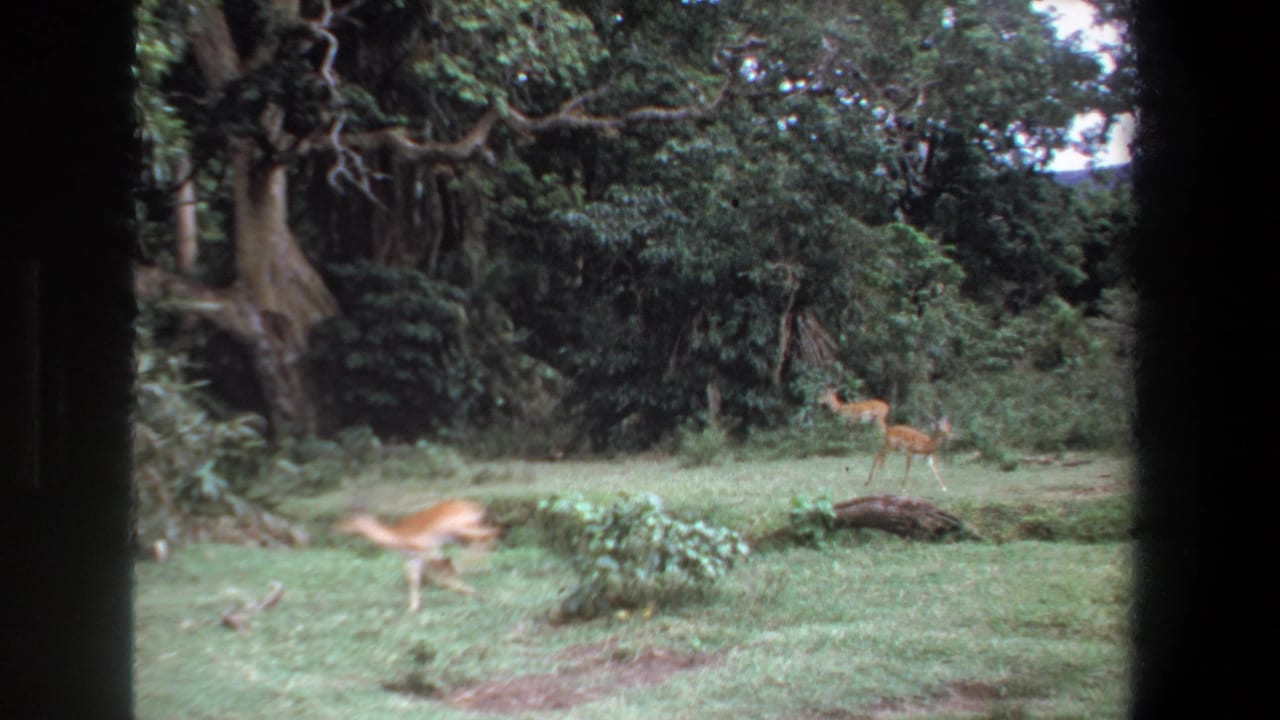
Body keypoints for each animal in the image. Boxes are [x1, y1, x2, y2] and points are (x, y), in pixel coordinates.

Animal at [334, 498, 500, 613]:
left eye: (348, 518)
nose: (335, 528)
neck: (399, 536)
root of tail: (478, 507)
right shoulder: (413, 559)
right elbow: (413, 580)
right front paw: (412, 609)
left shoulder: (431, 552)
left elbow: (445, 569)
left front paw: (476, 594)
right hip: (462, 537)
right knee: (488, 540)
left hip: (462, 532)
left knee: (491, 535)